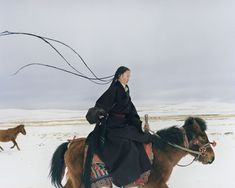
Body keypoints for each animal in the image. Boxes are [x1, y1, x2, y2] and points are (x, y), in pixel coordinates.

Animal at [50, 117, 216, 187]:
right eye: (202, 137)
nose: (212, 157)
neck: (162, 153)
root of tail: (71, 144)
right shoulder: (156, 184)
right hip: (79, 179)